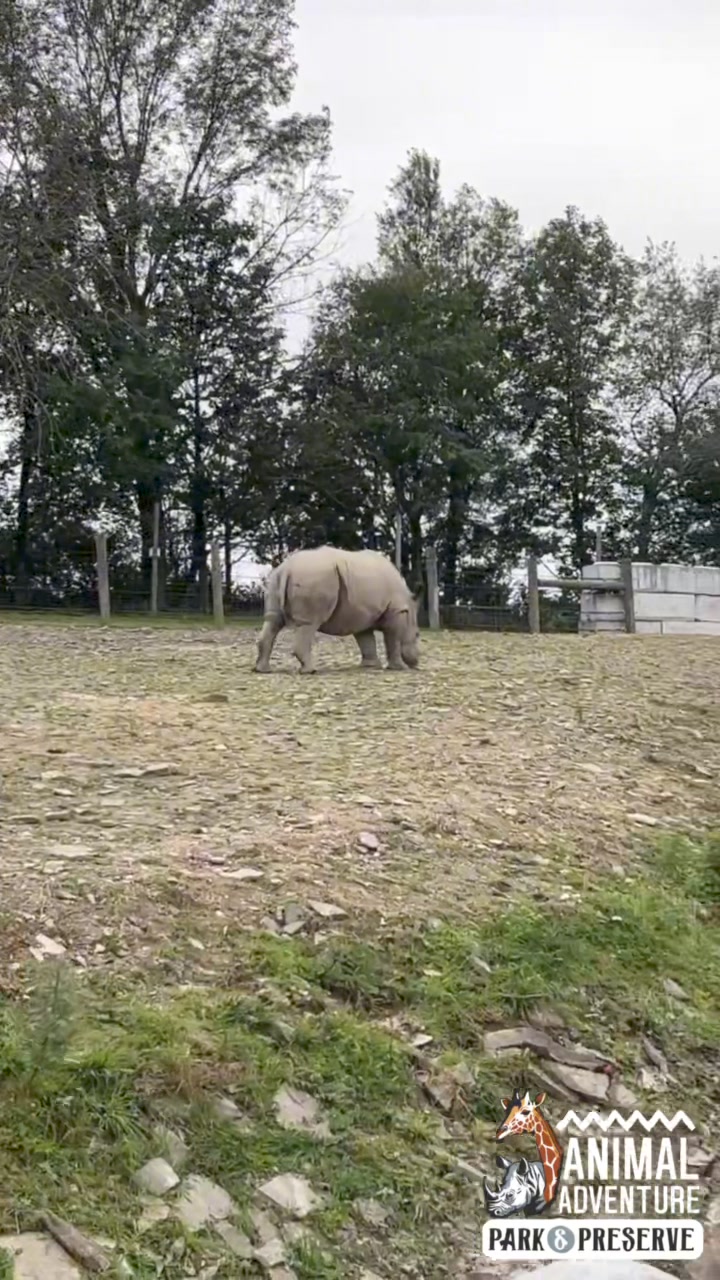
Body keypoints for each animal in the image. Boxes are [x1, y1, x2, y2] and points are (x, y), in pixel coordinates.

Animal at [253, 546, 421, 675]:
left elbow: (366, 640)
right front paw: (400, 668)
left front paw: (371, 666)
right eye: (418, 635)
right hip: (313, 579)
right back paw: (310, 671)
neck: (409, 606)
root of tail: (286, 569)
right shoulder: (397, 611)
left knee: (273, 620)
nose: (416, 662)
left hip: (275, 579)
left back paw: (263, 670)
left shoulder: (362, 615)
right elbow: (393, 639)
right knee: (309, 624)